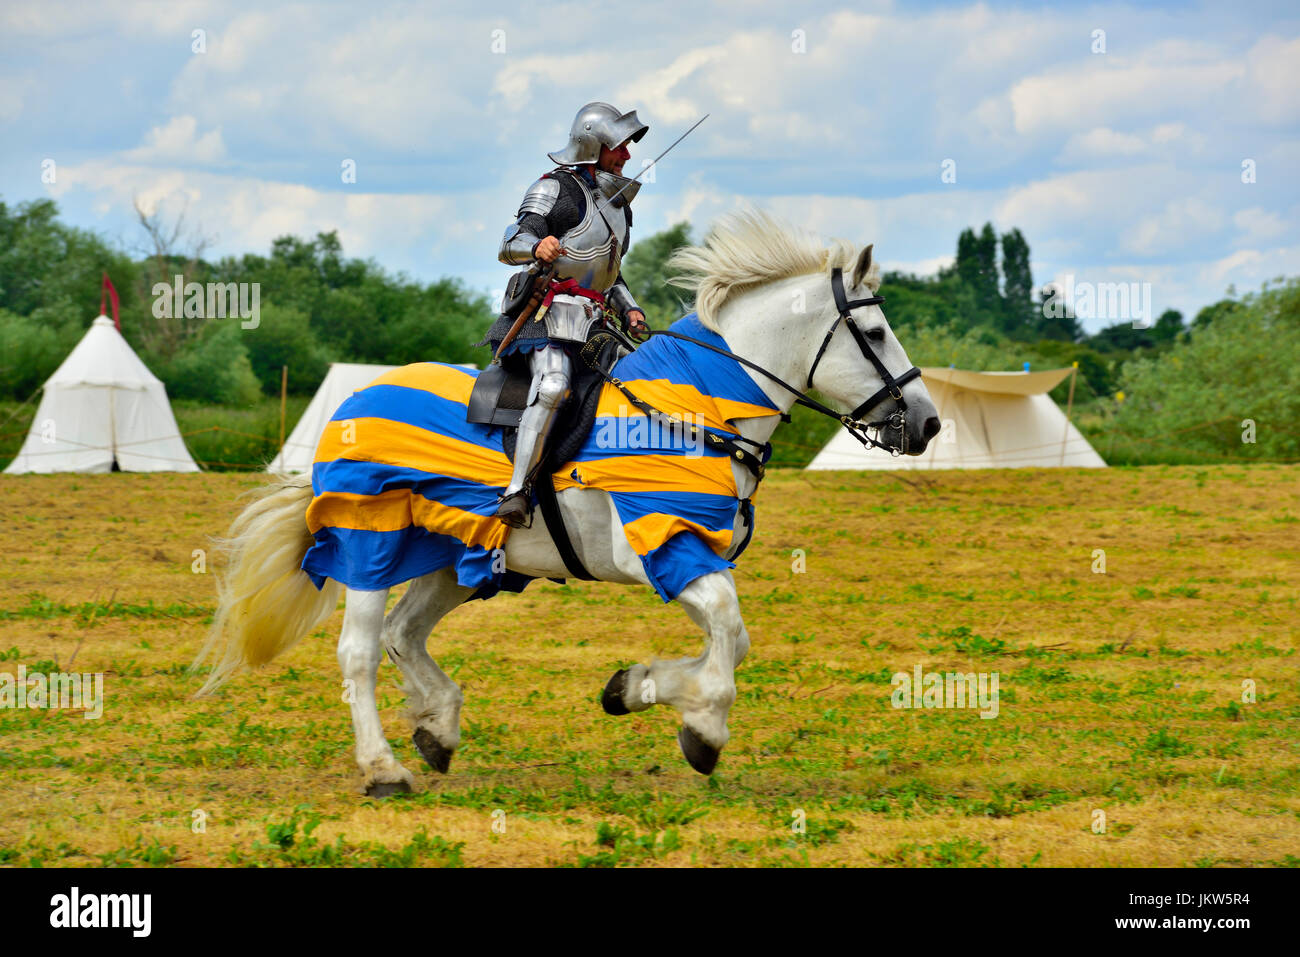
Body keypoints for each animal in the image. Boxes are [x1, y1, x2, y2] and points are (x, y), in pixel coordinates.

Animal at [192, 210, 941, 800]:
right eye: (875, 334)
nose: (929, 423)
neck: (693, 409)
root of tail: (350, 406)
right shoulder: (662, 548)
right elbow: (728, 638)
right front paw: (701, 729)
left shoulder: (687, 556)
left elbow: (733, 641)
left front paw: (633, 687)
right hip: (367, 542)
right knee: (360, 651)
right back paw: (384, 769)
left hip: (455, 557)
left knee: (406, 632)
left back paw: (437, 725)